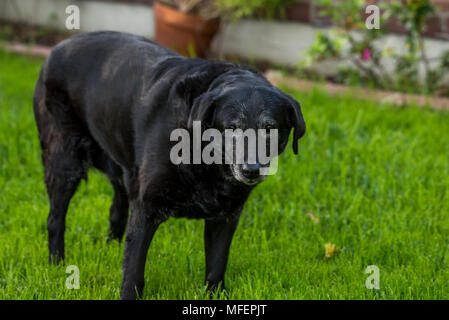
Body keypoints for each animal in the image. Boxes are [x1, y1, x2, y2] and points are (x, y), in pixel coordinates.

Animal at [31, 31, 304, 298]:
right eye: (232, 127)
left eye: (269, 129)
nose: (251, 170)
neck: (204, 159)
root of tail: (58, 47)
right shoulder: (146, 207)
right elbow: (133, 271)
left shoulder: (226, 217)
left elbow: (216, 266)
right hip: (64, 162)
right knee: (55, 219)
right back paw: (57, 264)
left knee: (116, 208)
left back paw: (110, 246)